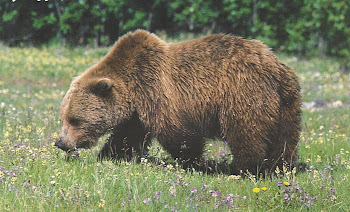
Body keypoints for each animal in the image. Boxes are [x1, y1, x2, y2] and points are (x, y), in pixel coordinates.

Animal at [54, 30, 300, 176]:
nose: (61, 143)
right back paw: (281, 168)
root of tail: (274, 65)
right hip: (287, 103)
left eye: (75, 120)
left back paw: (248, 169)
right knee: (285, 139)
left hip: (243, 94)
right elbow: (127, 137)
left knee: (247, 134)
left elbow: (179, 135)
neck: (133, 88)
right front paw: (110, 156)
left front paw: (192, 164)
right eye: (64, 118)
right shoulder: (136, 114)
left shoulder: (159, 93)